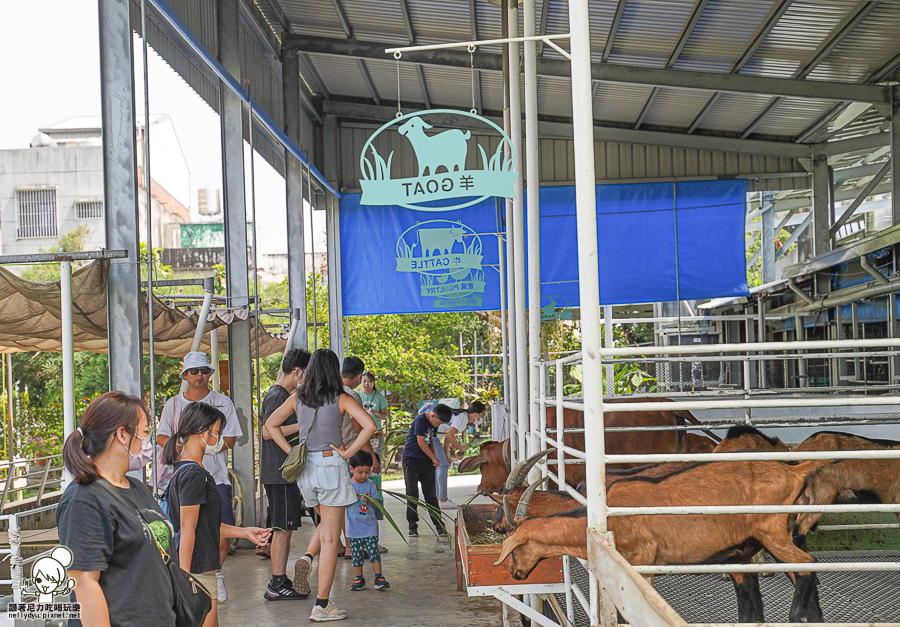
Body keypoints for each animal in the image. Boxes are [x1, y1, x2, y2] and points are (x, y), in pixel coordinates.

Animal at [496, 458, 828, 624]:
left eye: (514, 548)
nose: (515, 573)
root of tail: (793, 471)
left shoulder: (640, 564)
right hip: (748, 549)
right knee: (761, 602)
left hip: (771, 532)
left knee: (807, 566)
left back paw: (797, 616)